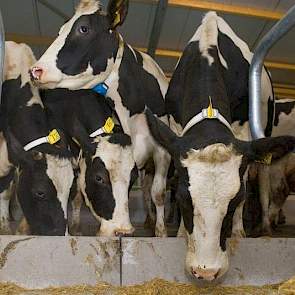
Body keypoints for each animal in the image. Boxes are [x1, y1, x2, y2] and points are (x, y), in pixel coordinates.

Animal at [146, 12, 295, 282]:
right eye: (183, 198)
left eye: (236, 201)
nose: (206, 272)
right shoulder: (176, 129)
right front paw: (181, 232)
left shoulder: (245, 134)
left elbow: (246, 183)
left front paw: (238, 231)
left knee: (267, 186)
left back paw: (265, 226)